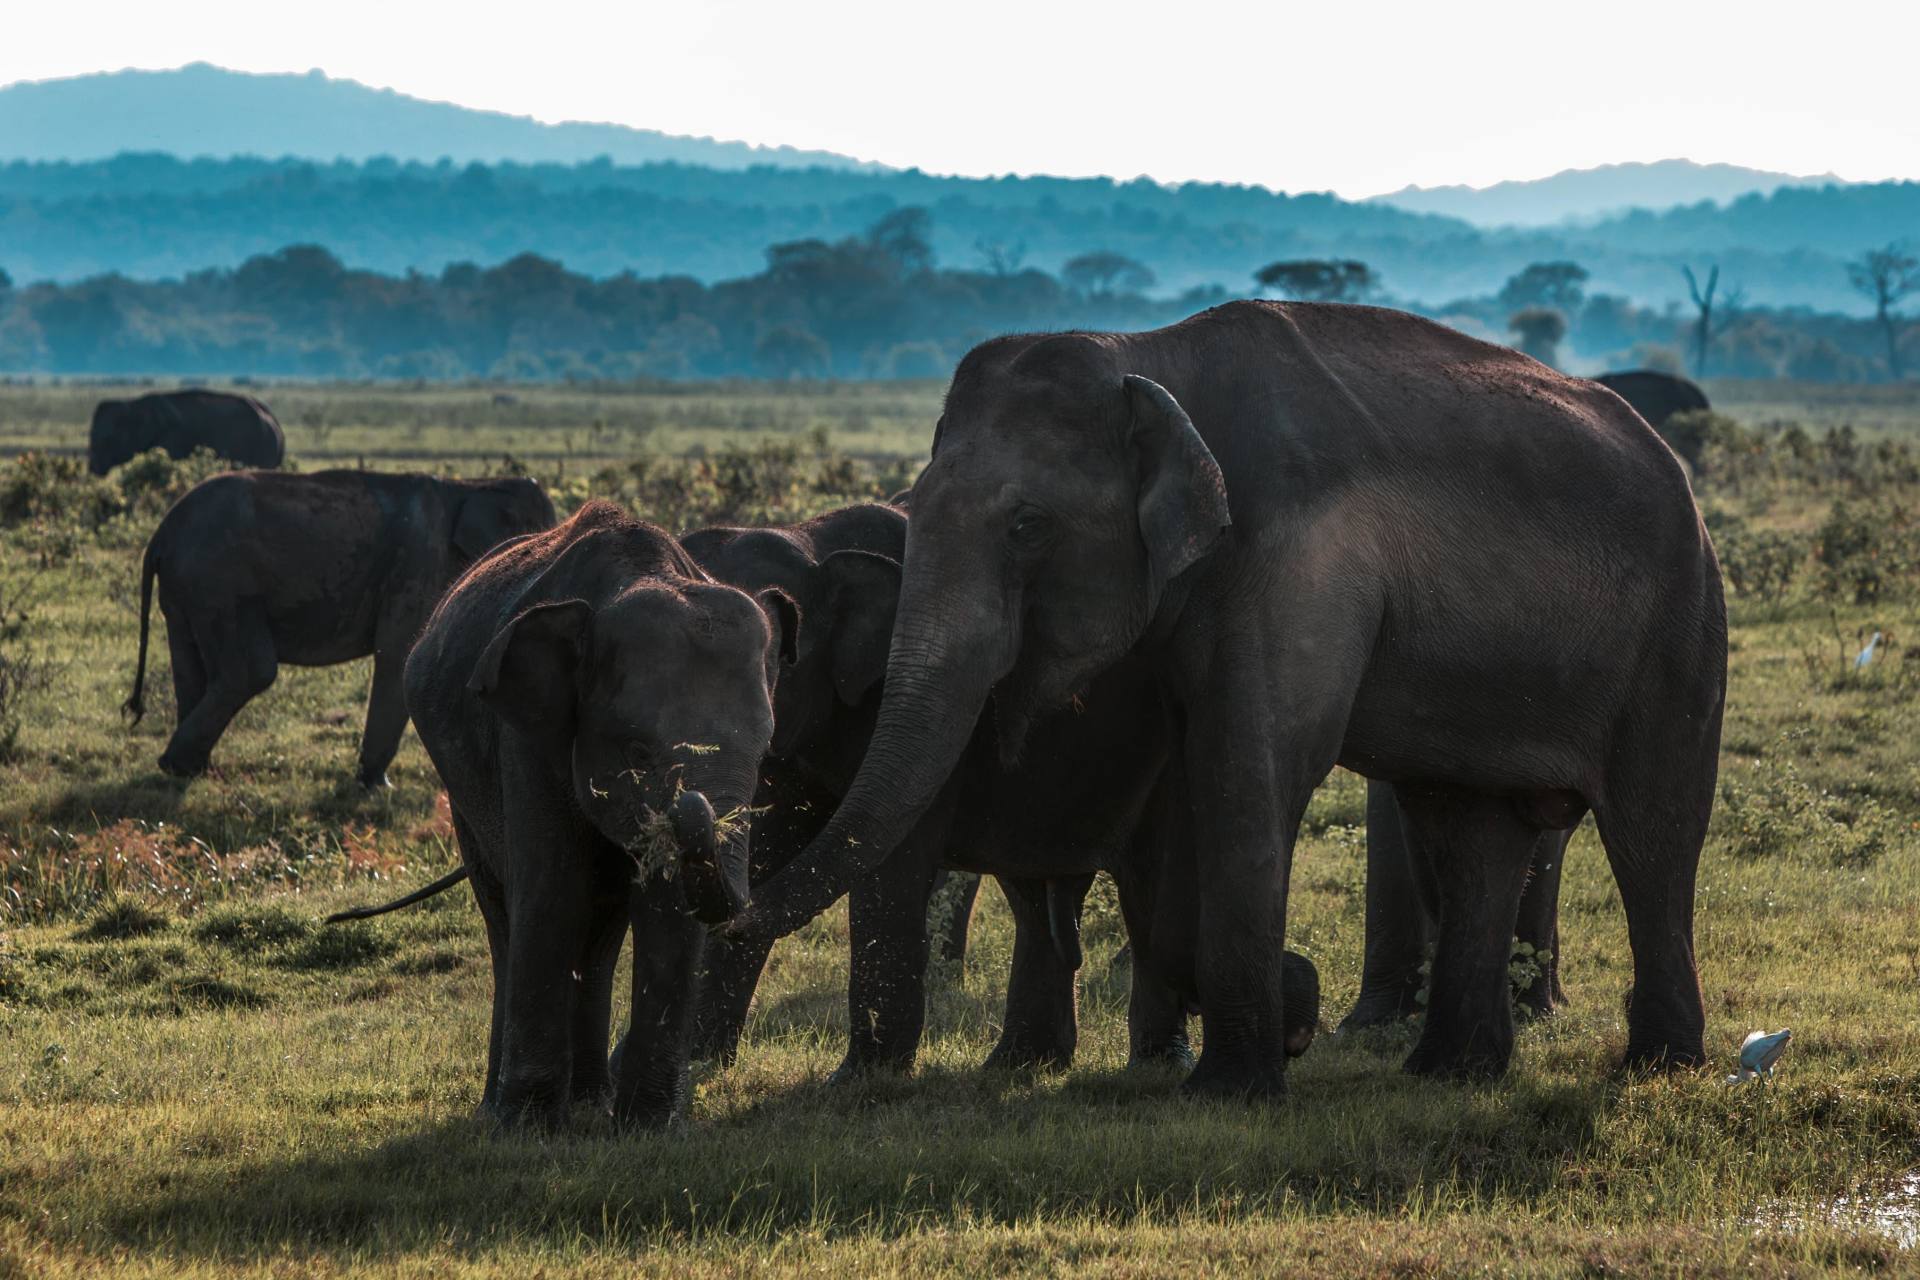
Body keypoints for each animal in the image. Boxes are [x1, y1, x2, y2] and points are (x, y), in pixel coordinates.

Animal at [124, 469, 556, 783]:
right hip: (219, 584)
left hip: (186, 591)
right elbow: (398, 654)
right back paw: (182, 767)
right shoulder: (419, 563)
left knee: (192, 668)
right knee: (250, 670)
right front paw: (374, 784)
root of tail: (160, 535)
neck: (471, 484)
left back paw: (186, 771)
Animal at [402, 499, 795, 1128]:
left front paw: (646, 1126)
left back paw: (590, 1100)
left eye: (764, 754)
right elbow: (553, 891)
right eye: (637, 753)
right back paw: (499, 1110)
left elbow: (664, 908)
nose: (687, 803)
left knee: (603, 928)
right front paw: (528, 1127)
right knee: (506, 914)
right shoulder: (527, 736)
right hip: (461, 792)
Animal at [728, 300, 1727, 1097]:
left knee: (1653, 831)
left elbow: (1251, 761)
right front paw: (1270, 1027)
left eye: (1027, 525)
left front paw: (1233, 1087)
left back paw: (1659, 1072)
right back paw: (1450, 1074)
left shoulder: (1298, 553)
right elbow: (1194, 768)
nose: (714, 890)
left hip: (1680, 623)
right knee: (1470, 828)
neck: (1150, 357)